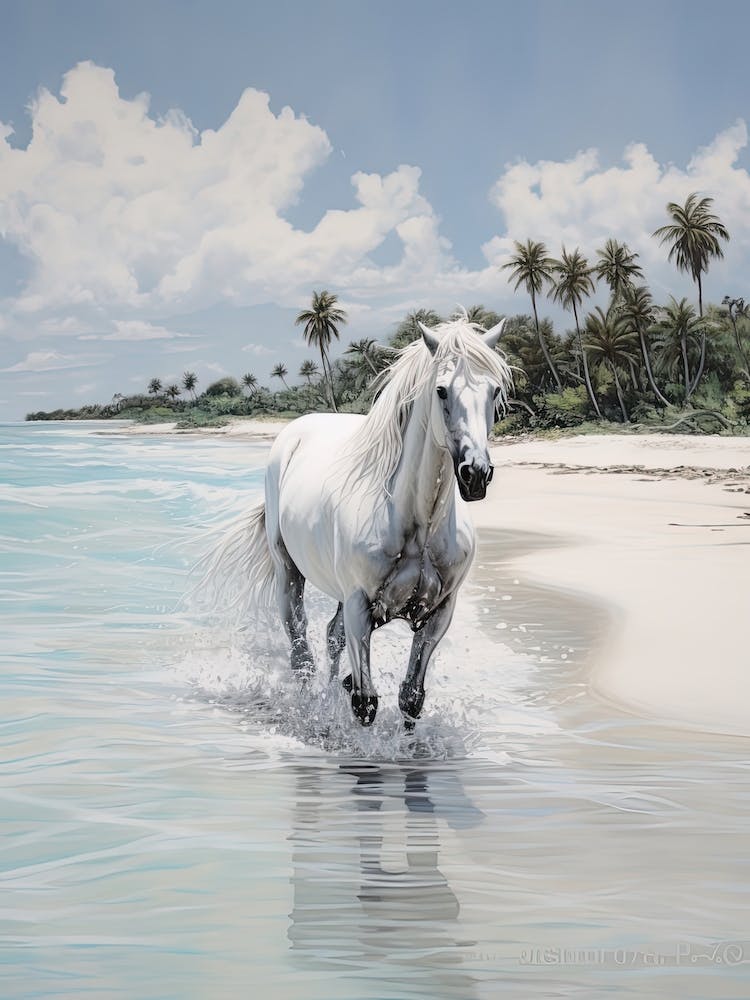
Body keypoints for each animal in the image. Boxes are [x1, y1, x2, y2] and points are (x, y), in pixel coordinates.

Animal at [222, 315, 513, 727]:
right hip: (289, 572)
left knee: (331, 637)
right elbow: (365, 703)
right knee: (301, 650)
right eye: (441, 391)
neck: (418, 528)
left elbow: (410, 698)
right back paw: (311, 707)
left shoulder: (439, 613)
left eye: (494, 390)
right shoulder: (360, 607)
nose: (475, 475)